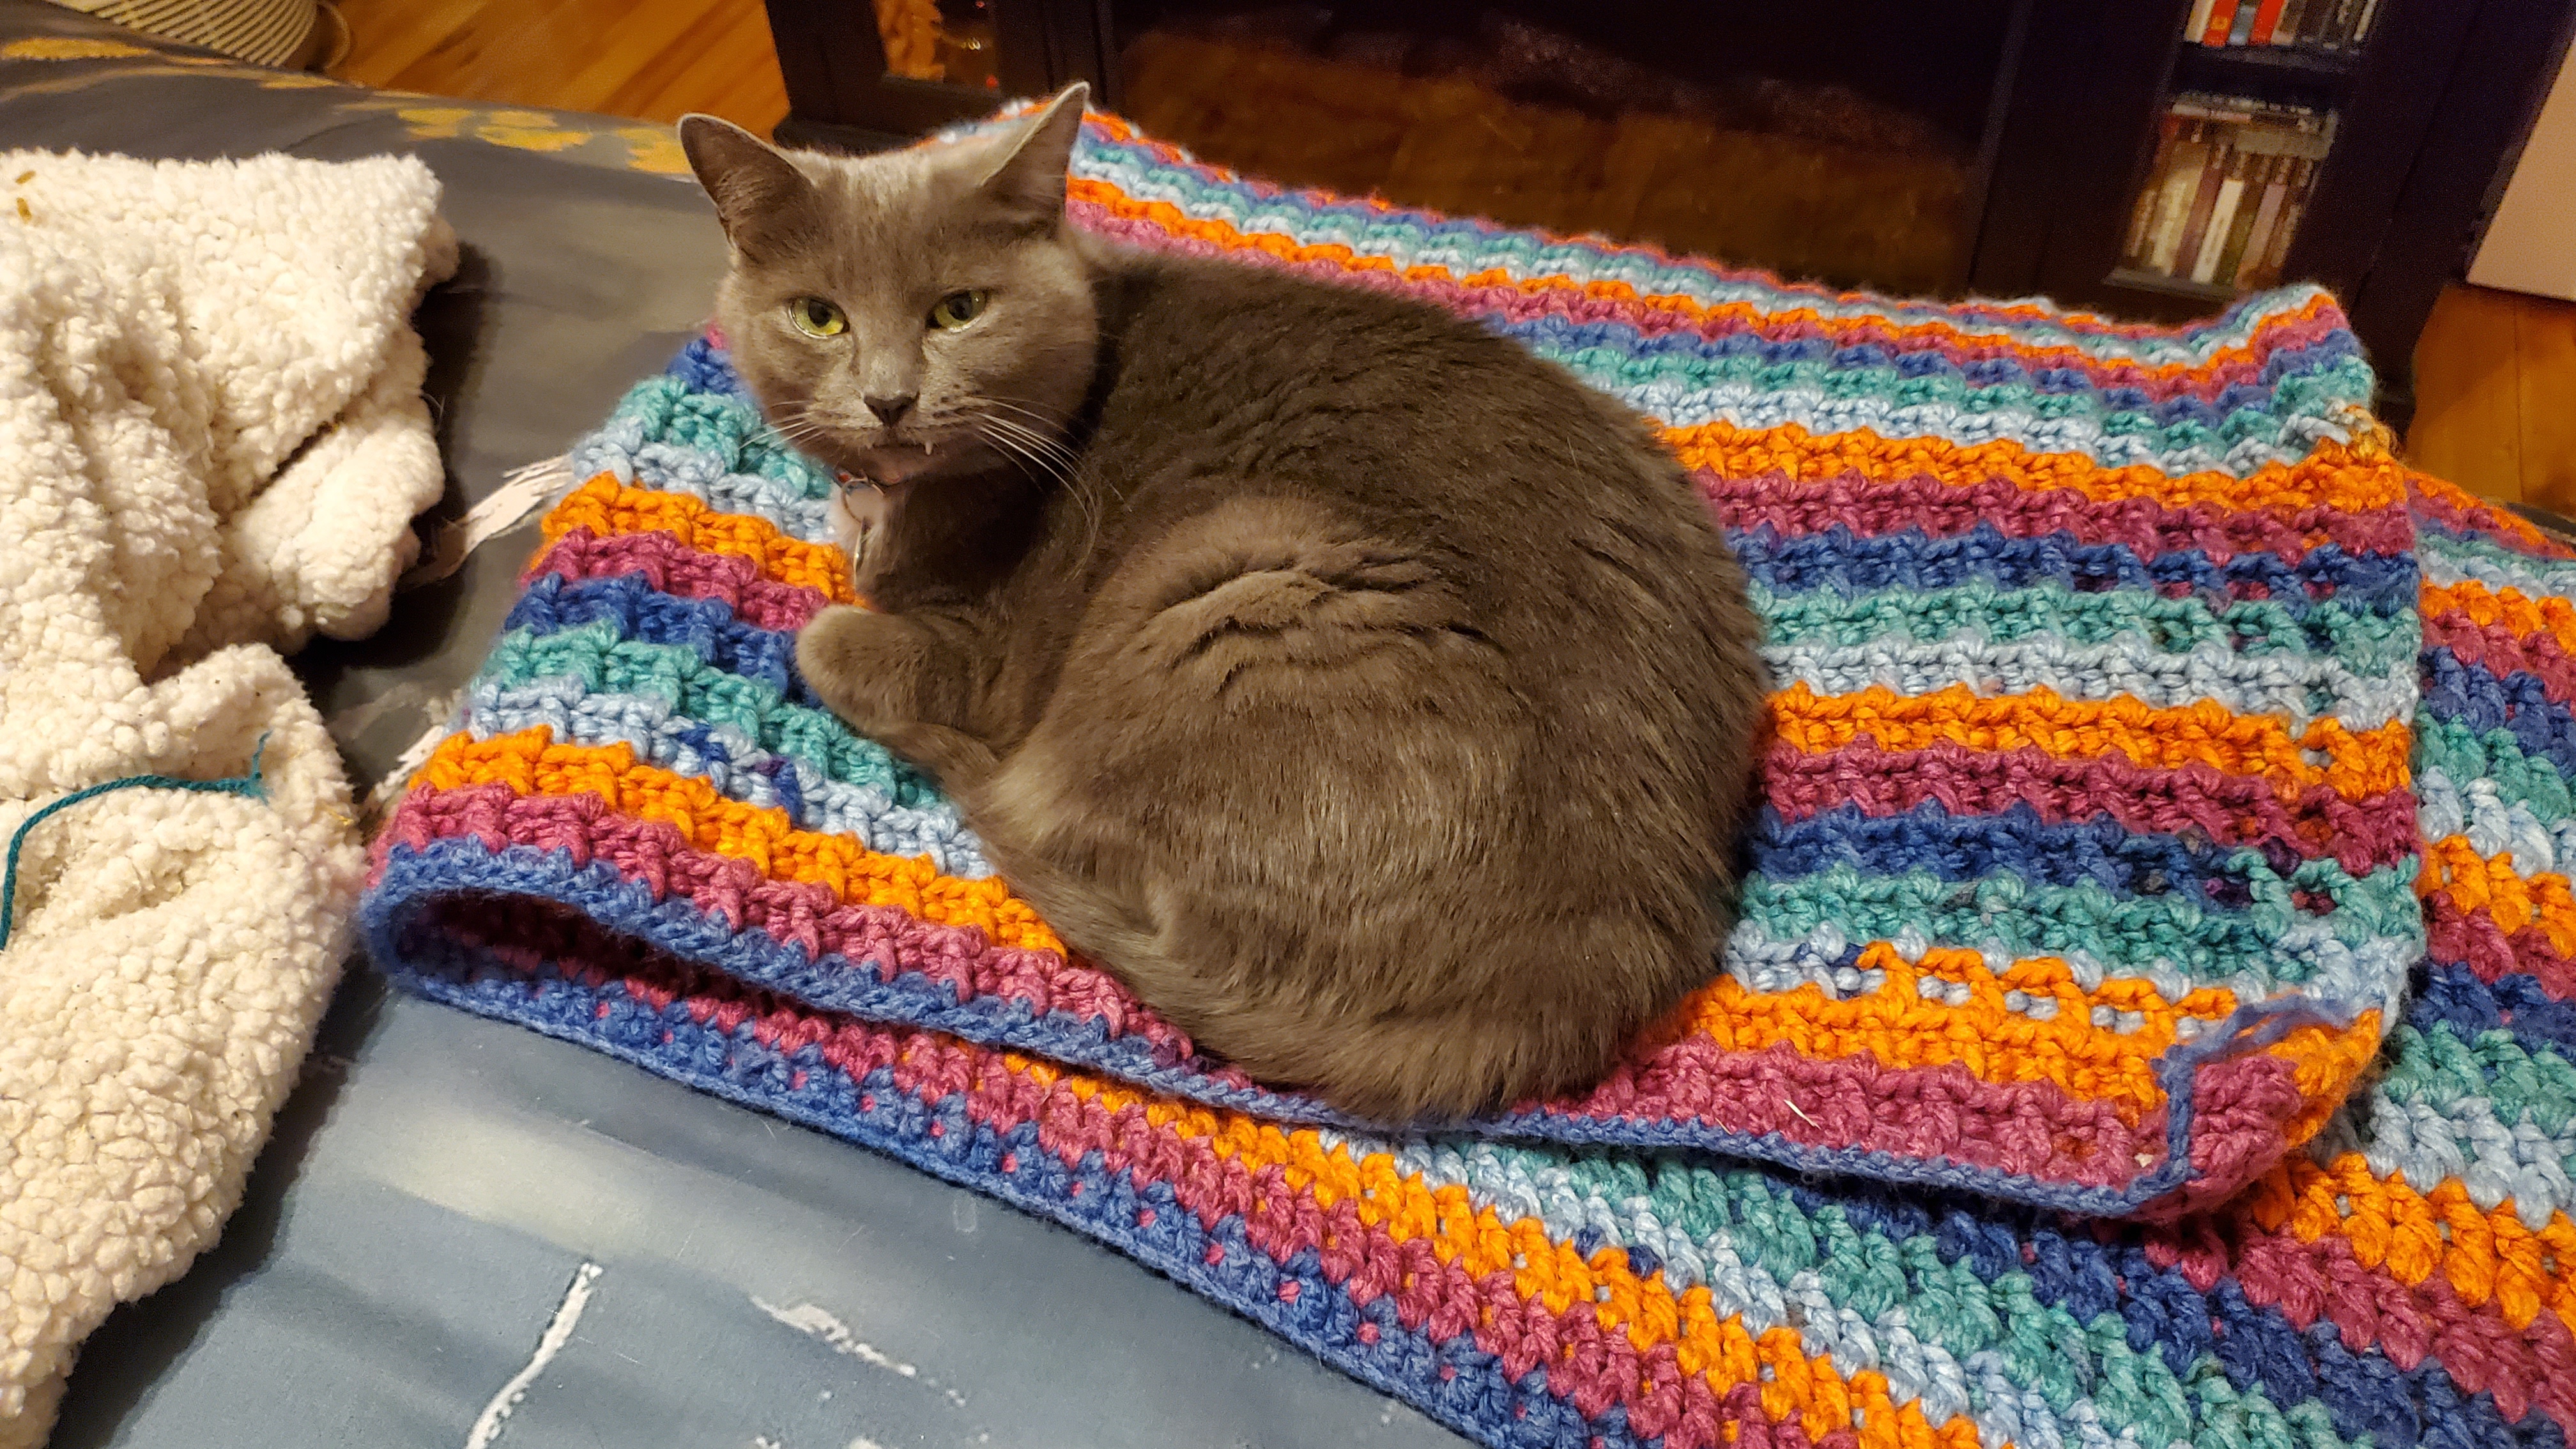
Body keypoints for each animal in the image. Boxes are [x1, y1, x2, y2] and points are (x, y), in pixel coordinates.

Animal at [677, 86, 1768, 1122]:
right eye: (820, 316)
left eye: (960, 309)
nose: (889, 399)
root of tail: (1589, 964)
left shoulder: (978, 652)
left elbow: (826, 637)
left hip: (1232, 581)